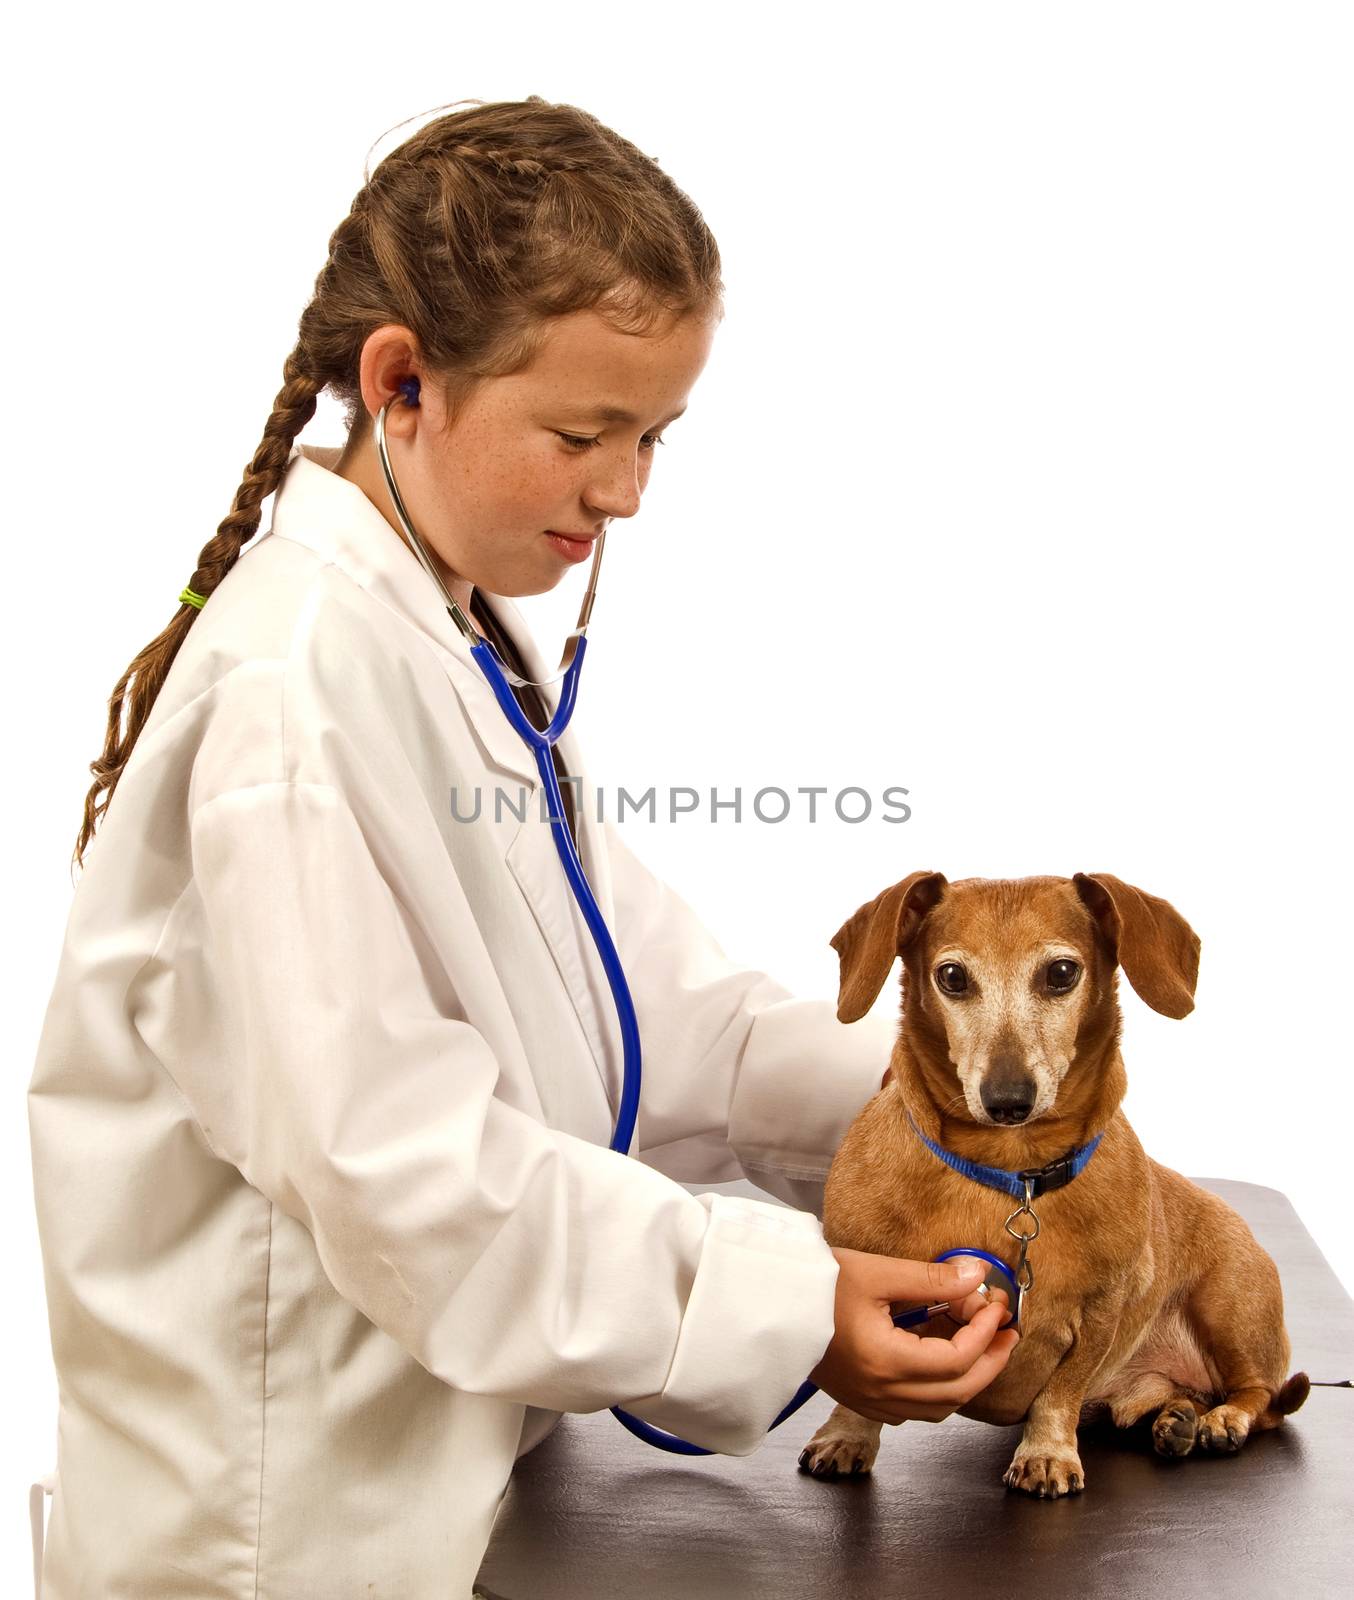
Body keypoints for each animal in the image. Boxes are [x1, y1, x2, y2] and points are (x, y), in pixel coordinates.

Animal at [800, 870, 1312, 1491]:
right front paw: (846, 1434)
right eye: (952, 977)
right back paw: (1177, 1418)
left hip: (1230, 1305)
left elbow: (1061, 1390)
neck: (1011, 1174)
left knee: (1260, 1396)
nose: (1007, 1101)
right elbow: (855, 1393)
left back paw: (1220, 1420)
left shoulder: (1104, 1308)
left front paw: (1046, 1453)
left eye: (1062, 973)